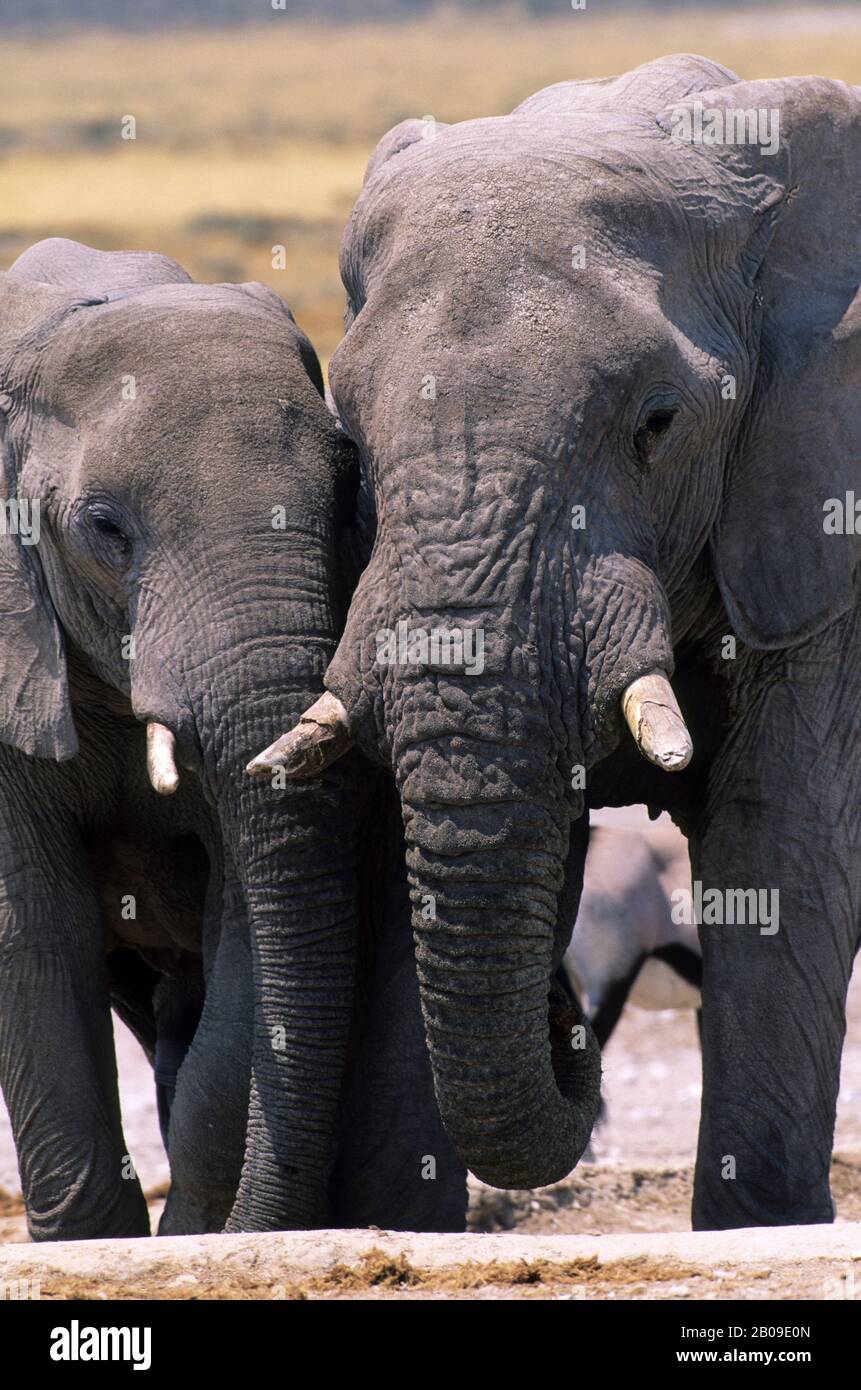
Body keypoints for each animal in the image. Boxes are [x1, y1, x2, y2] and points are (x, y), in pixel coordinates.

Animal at [0, 236, 467, 1239]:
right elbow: (34, 928)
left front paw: (192, 1235)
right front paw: (100, 1245)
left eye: (347, 495)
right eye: (104, 528)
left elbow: (243, 921)